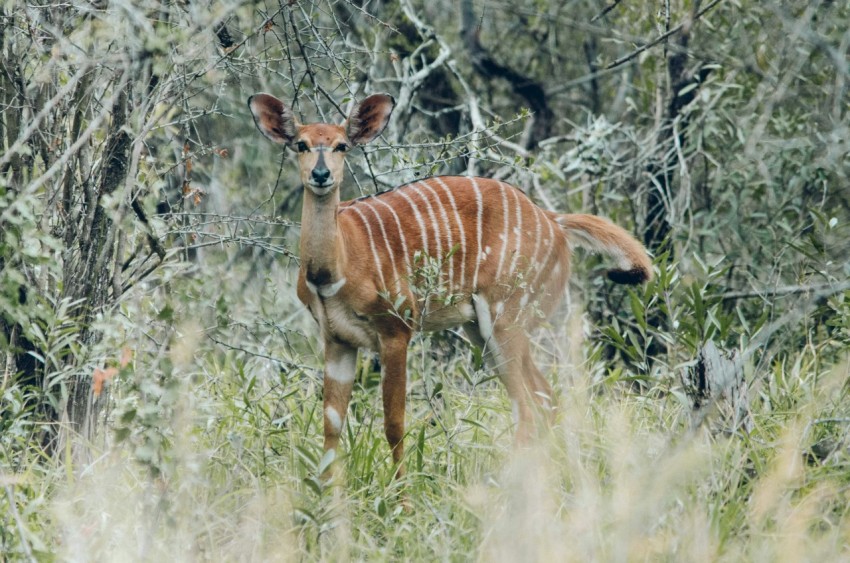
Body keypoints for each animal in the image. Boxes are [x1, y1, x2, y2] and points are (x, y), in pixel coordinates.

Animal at [248, 91, 652, 476]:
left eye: (341, 145)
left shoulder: (397, 329)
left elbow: (394, 422)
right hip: (483, 330)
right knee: (544, 398)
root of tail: (554, 221)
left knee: (527, 406)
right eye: (301, 144)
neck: (336, 269)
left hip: (507, 319)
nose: (320, 175)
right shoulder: (337, 340)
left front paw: (402, 494)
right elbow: (331, 425)